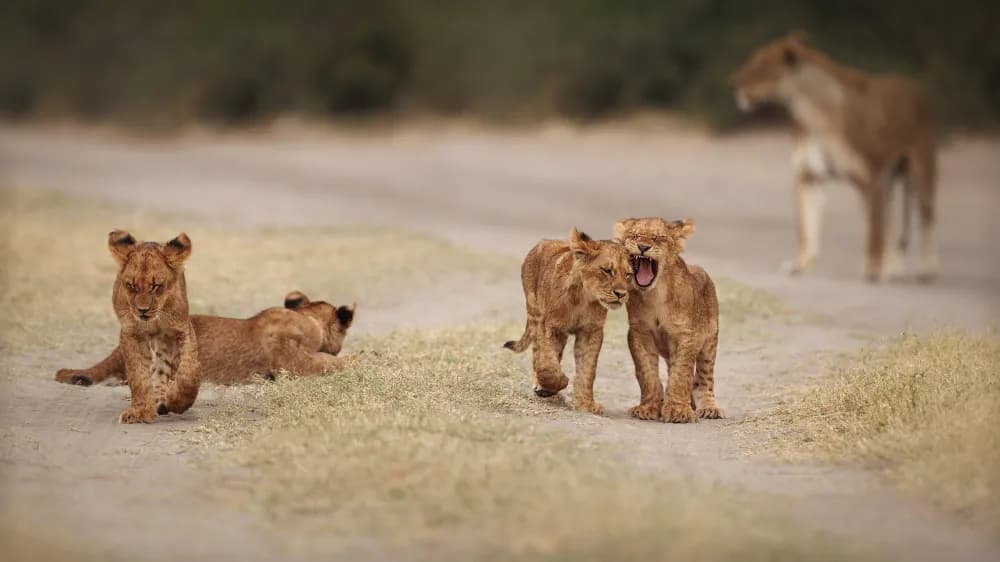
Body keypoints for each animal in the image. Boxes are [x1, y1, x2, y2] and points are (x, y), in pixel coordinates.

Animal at [105, 230, 201, 424]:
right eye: (132, 285)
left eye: (156, 286)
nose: (142, 311)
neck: (155, 319)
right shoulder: (131, 333)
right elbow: (138, 374)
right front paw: (141, 411)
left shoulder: (182, 330)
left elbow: (188, 372)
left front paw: (177, 401)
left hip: (165, 342)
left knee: (161, 369)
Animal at [504, 228, 631, 415]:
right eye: (607, 270)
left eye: (628, 274)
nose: (621, 294)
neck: (584, 298)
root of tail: (545, 241)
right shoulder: (549, 326)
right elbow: (547, 363)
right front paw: (557, 383)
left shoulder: (591, 331)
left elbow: (587, 369)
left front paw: (585, 404)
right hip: (535, 312)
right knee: (537, 353)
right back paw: (540, 384)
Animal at [614, 217, 724, 423]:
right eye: (634, 235)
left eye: (659, 238)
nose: (643, 247)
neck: (655, 294)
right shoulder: (639, 333)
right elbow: (647, 374)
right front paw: (649, 408)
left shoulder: (686, 335)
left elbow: (681, 375)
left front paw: (678, 411)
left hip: (709, 343)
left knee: (704, 380)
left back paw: (709, 408)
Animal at [731, 32, 937, 282]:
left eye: (760, 64)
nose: (734, 81)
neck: (810, 113)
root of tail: (914, 87)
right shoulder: (808, 176)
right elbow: (806, 225)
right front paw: (800, 265)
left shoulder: (870, 176)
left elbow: (873, 233)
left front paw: (872, 271)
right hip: (888, 181)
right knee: (889, 220)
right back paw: (891, 269)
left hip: (921, 168)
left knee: (925, 217)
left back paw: (926, 269)